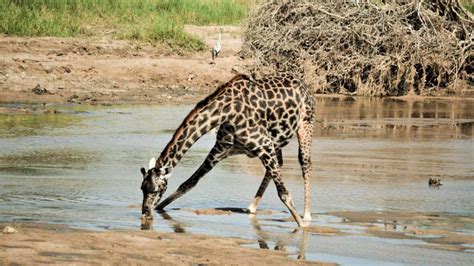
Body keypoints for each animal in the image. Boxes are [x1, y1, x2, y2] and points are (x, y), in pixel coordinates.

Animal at [141, 72, 314, 227]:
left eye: (155, 190)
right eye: (142, 188)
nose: (145, 213)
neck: (226, 112)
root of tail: (305, 85)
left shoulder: (264, 145)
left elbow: (283, 193)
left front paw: (302, 227)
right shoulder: (220, 150)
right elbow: (189, 183)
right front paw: (160, 208)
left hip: (305, 126)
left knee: (305, 163)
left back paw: (306, 215)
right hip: (275, 143)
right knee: (278, 165)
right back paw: (252, 207)